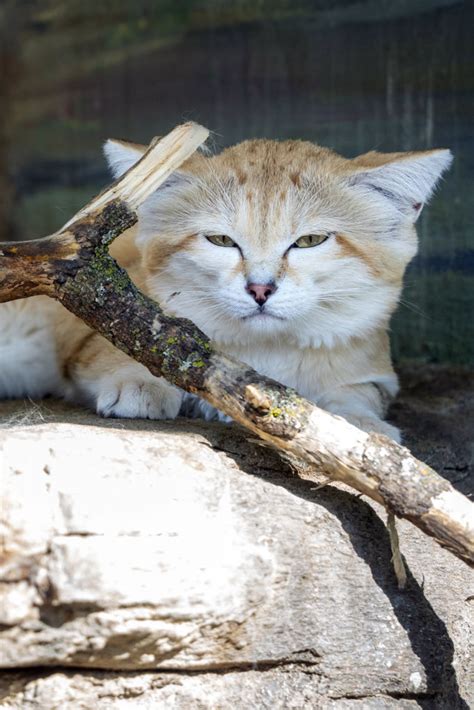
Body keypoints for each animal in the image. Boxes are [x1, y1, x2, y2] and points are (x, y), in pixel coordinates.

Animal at [0, 136, 452, 442]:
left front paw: (360, 424)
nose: (260, 288)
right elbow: (116, 350)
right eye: (221, 241)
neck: (264, 354)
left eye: (310, 241)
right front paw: (141, 381)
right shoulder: (90, 330)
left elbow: (359, 393)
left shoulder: (375, 371)